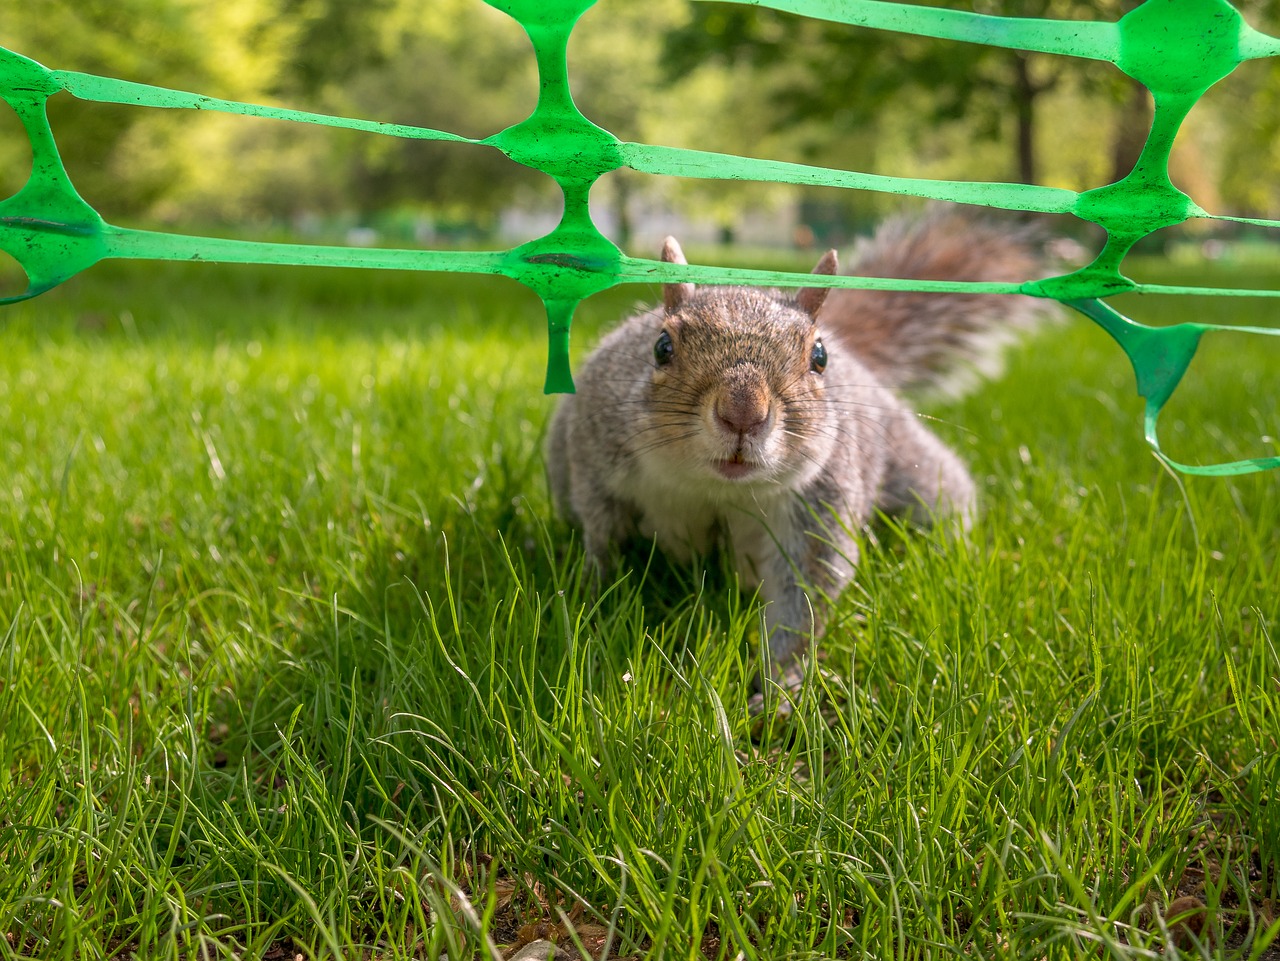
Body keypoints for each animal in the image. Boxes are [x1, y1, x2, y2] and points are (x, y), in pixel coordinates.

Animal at [540, 208, 1049, 701]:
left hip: (918, 477)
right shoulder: (596, 463)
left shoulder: (819, 505)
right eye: (661, 347)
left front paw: (779, 686)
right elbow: (603, 541)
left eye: (819, 358)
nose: (742, 413)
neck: (716, 488)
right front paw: (595, 610)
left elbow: (802, 598)